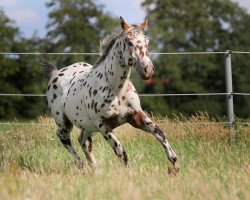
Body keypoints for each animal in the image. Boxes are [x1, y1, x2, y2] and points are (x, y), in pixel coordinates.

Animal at [43, 16, 177, 172]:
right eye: (129, 42)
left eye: (147, 42)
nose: (148, 70)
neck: (116, 89)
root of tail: (55, 73)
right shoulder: (103, 124)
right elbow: (120, 150)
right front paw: (131, 173)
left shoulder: (136, 116)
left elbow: (159, 132)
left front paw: (174, 163)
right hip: (64, 122)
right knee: (64, 138)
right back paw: (81, 165)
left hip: (87, 126)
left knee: (84, 142)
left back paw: (96, 170)